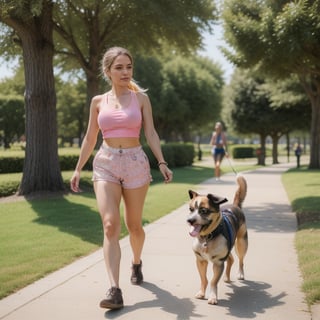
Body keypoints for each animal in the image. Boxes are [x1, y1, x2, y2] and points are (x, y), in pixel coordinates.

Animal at [188, 175, 248, 304]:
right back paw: (226, 277)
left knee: (241, 260)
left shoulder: (218, 262)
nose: (189, 220)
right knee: (231, 259)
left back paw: (240, 274)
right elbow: (204, 279)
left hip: (241, 243)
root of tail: (235, 205)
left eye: (203, 210)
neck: (208, 236)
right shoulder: (201, 261)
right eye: (190, 209)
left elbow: (213, 281)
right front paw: (201, 293)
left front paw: (212, 297)